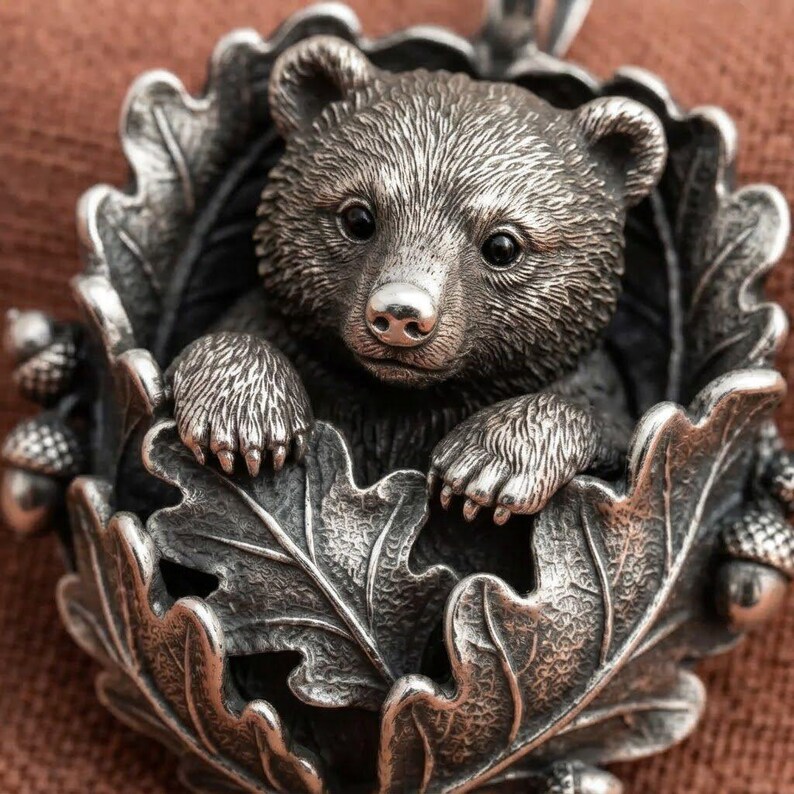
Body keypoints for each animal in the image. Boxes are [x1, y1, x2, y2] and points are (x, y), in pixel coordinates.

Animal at [169, 34, 667, 525]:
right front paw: (242, 421)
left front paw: (485, 466)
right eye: (358, 216)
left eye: (502, 245)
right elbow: (213, 345)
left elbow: (621, 434)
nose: (400, 314)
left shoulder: (597, 390)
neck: (404, 402)